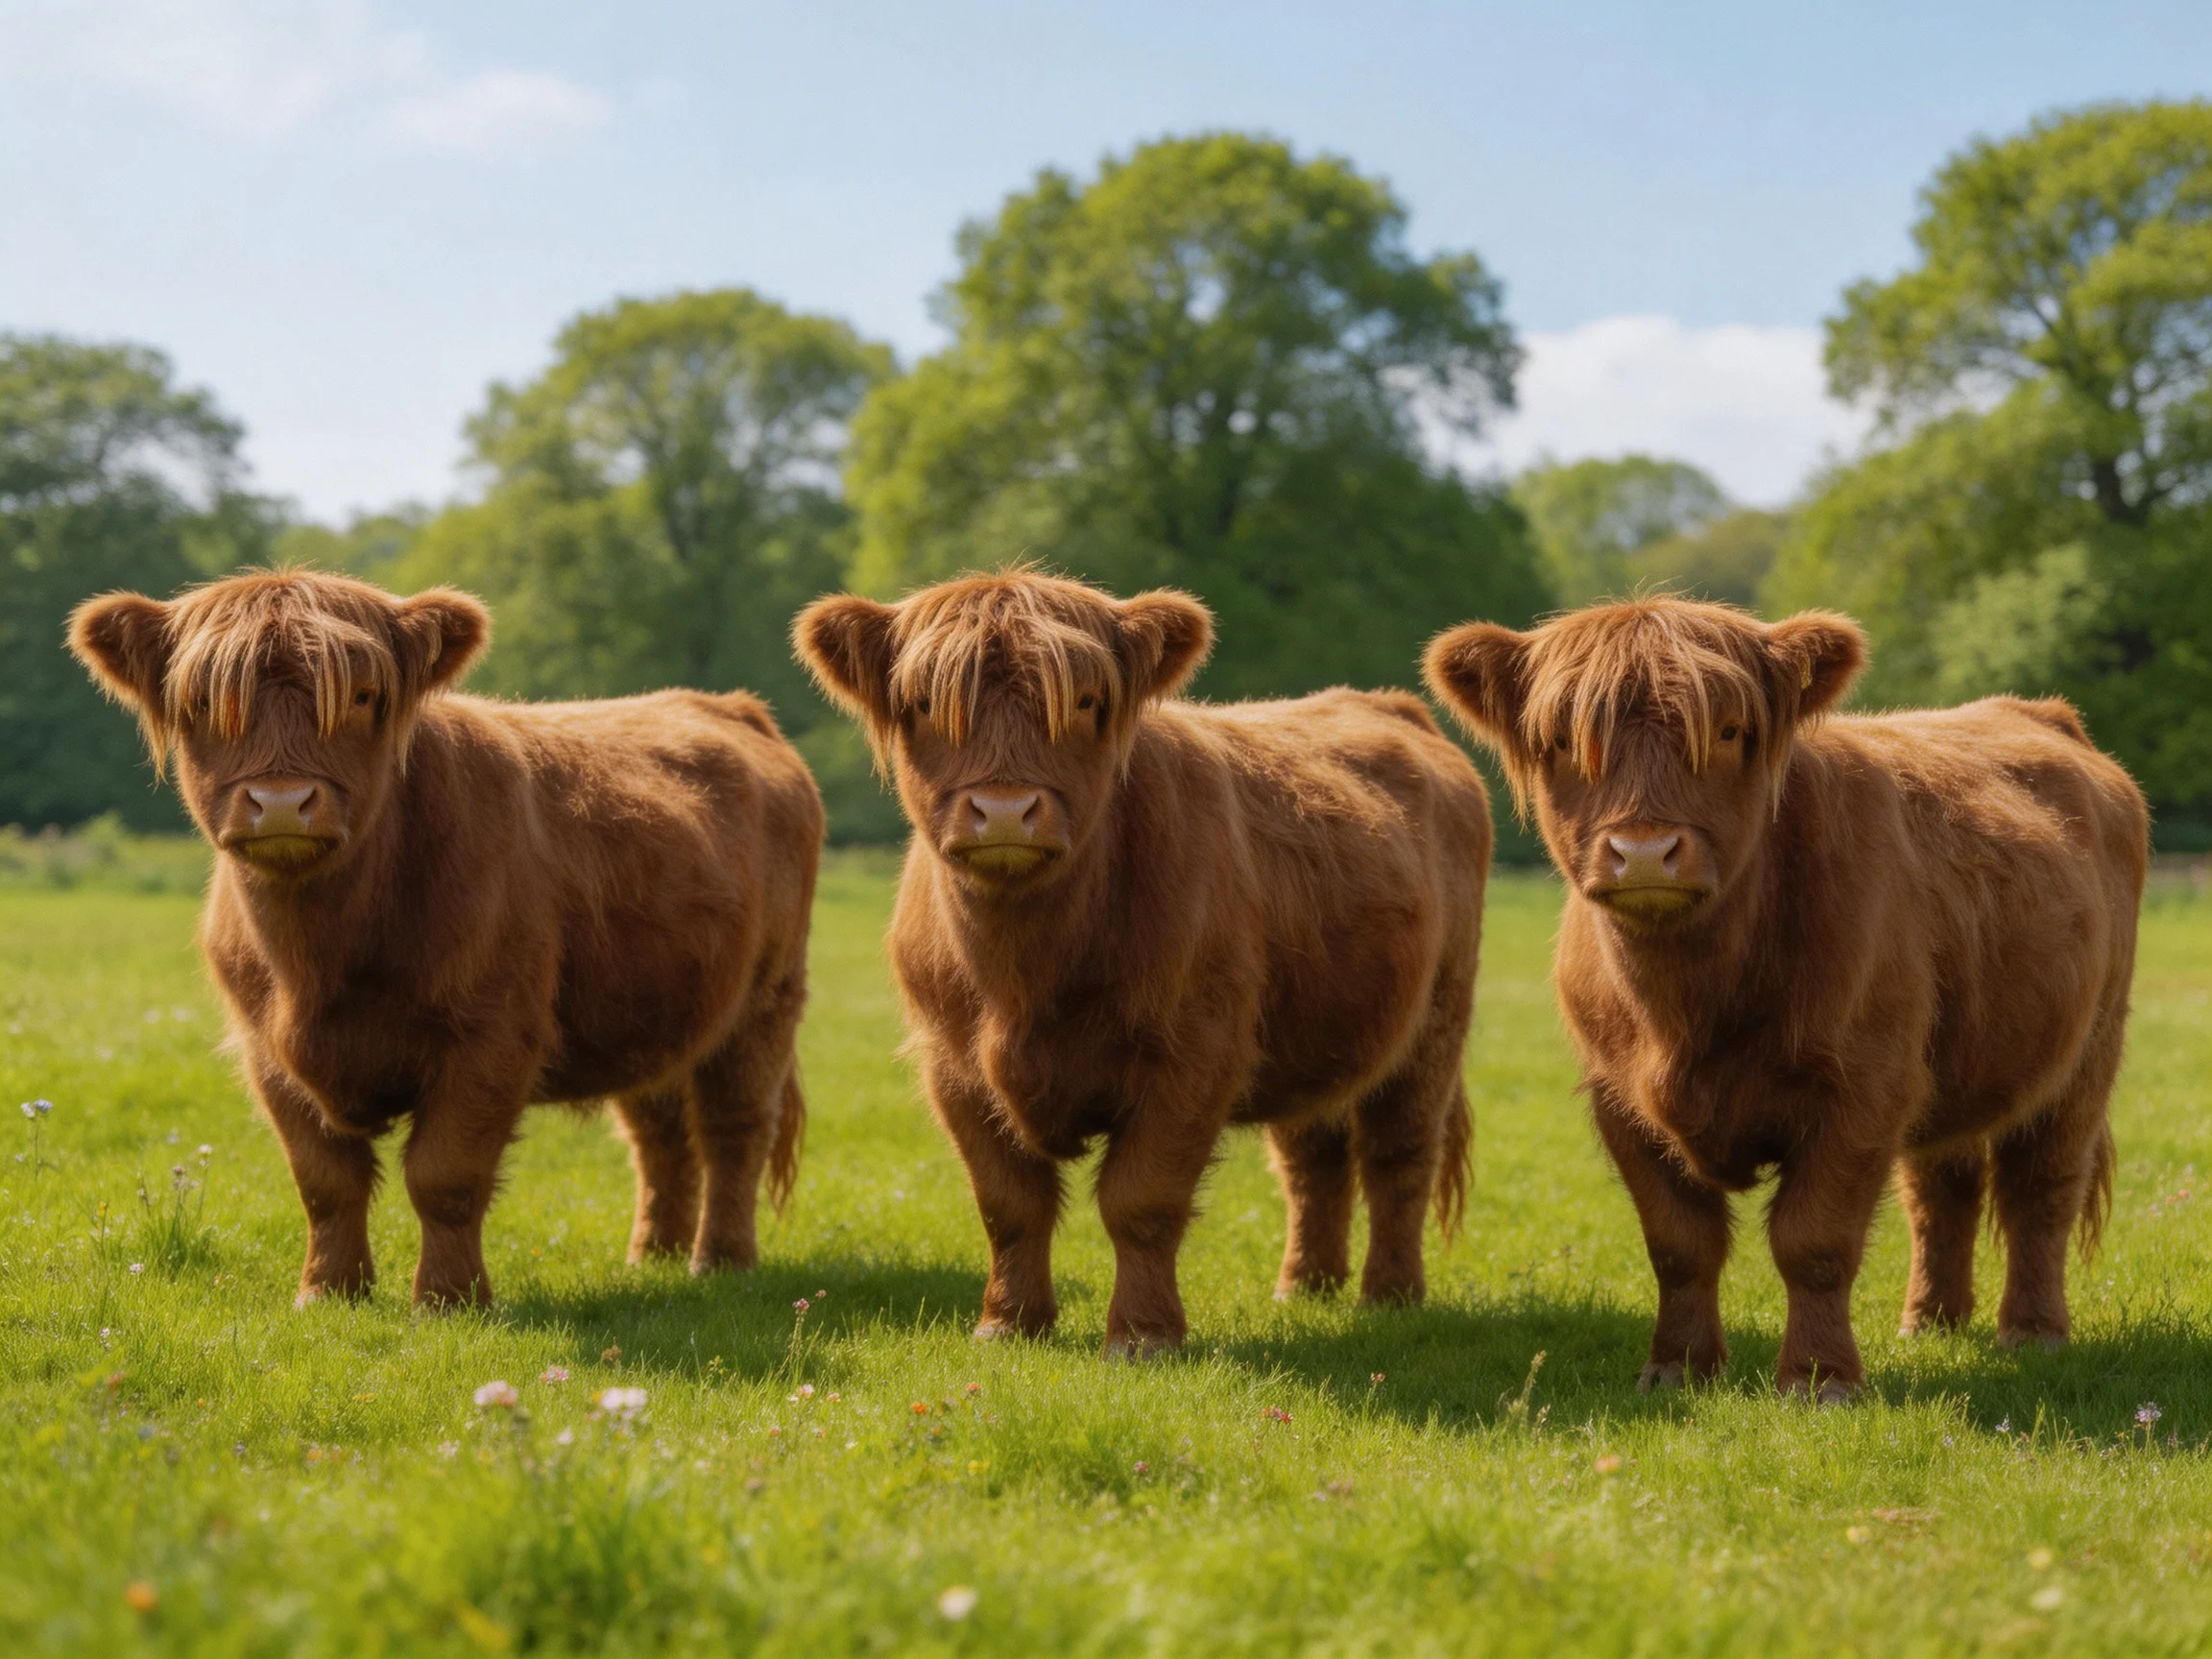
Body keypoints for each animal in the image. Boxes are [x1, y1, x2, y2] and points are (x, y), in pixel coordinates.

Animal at [69, 570, 822, 1308]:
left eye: (363, 696)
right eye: (202, 701)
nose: (281, 803)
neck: (318, 961)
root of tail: (728, 707)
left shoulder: (491, 1035)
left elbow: (445, 1175)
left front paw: (448, 1298)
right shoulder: (266, 1050)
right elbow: (324, 1181)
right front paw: (329, 1292)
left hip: (767, 999)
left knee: (734, 1127)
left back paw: (719, 1262)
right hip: (651, 1005)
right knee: (658, 1133)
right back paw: (652, 1256)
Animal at [794, 570, 1490, 1355]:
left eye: (1085, 702)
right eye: (923, 705)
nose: (1004, 811)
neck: (1023, 975)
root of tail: (1384, 703)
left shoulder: (1194, 1053)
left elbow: (1141, 1200)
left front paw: (1142, 1337)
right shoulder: (953, 1066)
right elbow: (1008, 1203)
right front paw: (1009, 1324)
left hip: (1436, 1022)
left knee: (1400, 1153)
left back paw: (1389, 1297)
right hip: (1318, 1029)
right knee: (1313, 1158)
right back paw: (1305, 1286)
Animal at [1424, 596, 2147, 1400]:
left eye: (1728, 730)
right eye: (1561, 741)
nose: (1643, 853)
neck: (1688, 1009)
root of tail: (2043, 715)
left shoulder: (1863, 1089)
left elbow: (1814, 1242)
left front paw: (1819, 1378)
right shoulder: (1620, 1100)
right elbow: (1678, 1244)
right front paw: (1678, 1368)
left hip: (2087, 1054)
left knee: (2040, 1190)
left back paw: (2032, 1331)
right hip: (1955, 1064)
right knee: (1942, 1190)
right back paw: (1931, 1321)